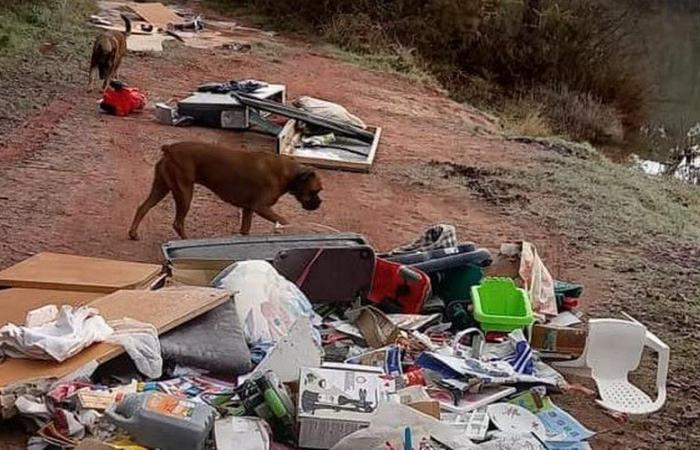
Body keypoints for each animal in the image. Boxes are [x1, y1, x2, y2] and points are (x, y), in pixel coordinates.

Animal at [127, 142, 324, 241]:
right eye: (315, 191)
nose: (320, 203)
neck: (289, 173)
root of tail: (169, 149)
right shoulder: (261, 207)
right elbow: (283, 220)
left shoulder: (248, 209)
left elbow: (245, 230)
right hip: (184, 193)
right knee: (177, 222)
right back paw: (185, 240)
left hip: (162, 187)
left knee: (142, 207)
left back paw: (133, 233)